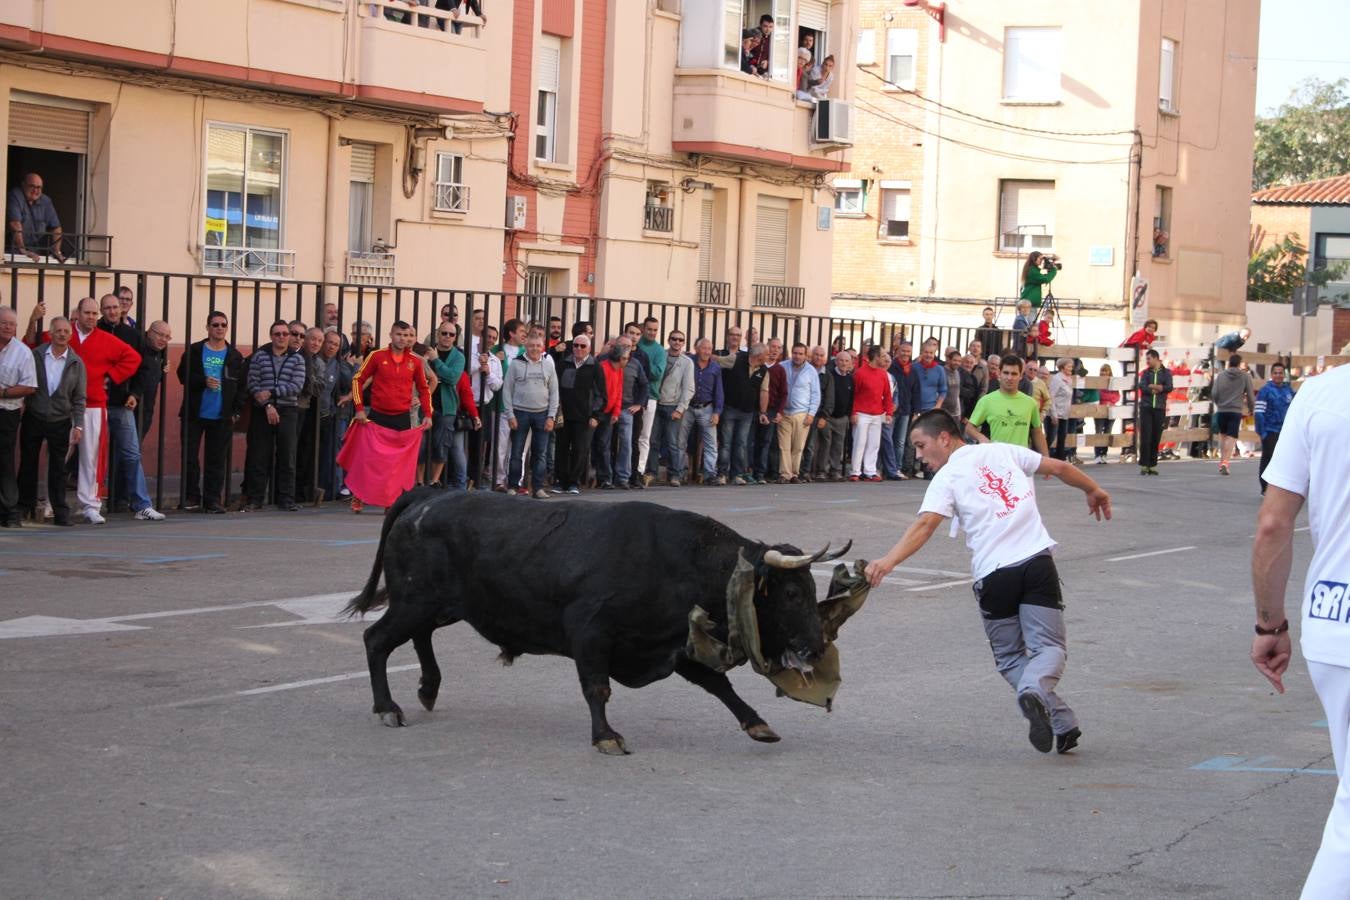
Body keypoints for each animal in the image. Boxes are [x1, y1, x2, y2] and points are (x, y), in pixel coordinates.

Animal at [342, 488, 847, 755]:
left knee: (418, 638)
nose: (815, 647)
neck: (676, 558)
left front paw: (758, 724)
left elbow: (718, 685)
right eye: (792, 593)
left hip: (436, 605)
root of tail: (426, 495)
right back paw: (388, 707)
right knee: (376, 640)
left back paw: (428, 688)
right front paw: (605, 736)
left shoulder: (671, 643)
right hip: (415, 600)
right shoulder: (590, 633)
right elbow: (597, 688)